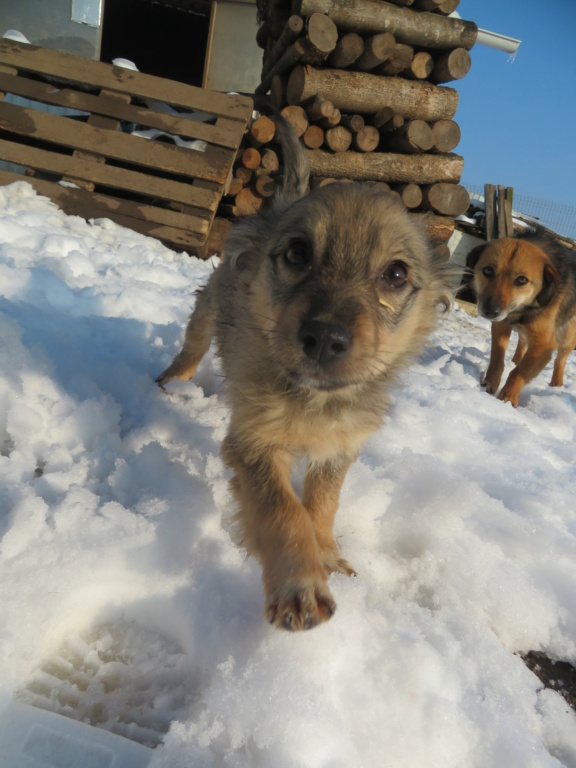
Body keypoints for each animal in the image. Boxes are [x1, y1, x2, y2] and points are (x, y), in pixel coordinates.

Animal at [156, 112, 450, 632]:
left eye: (395, 275)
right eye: (296, 253)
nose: (324, 336)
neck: (314, 399)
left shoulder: (340, 446)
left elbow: (322, 504)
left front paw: (327, 555)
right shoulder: (253, 442)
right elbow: (283, 509)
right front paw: (301, 584)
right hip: (209, 307)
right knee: (192, 345)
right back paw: (172, 382)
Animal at [466, 232, 576, 408]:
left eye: (522, 280)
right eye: (488, 270)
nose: (490, 311)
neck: (521, 311)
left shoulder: (544, 345)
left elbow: (518, 373)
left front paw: (507, 398)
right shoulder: (501, 325)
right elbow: (497, 359)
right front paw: (489, 383)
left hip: (567, 336)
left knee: (561, 359)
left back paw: (556, 386)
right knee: (522, 343)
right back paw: (515, 360)